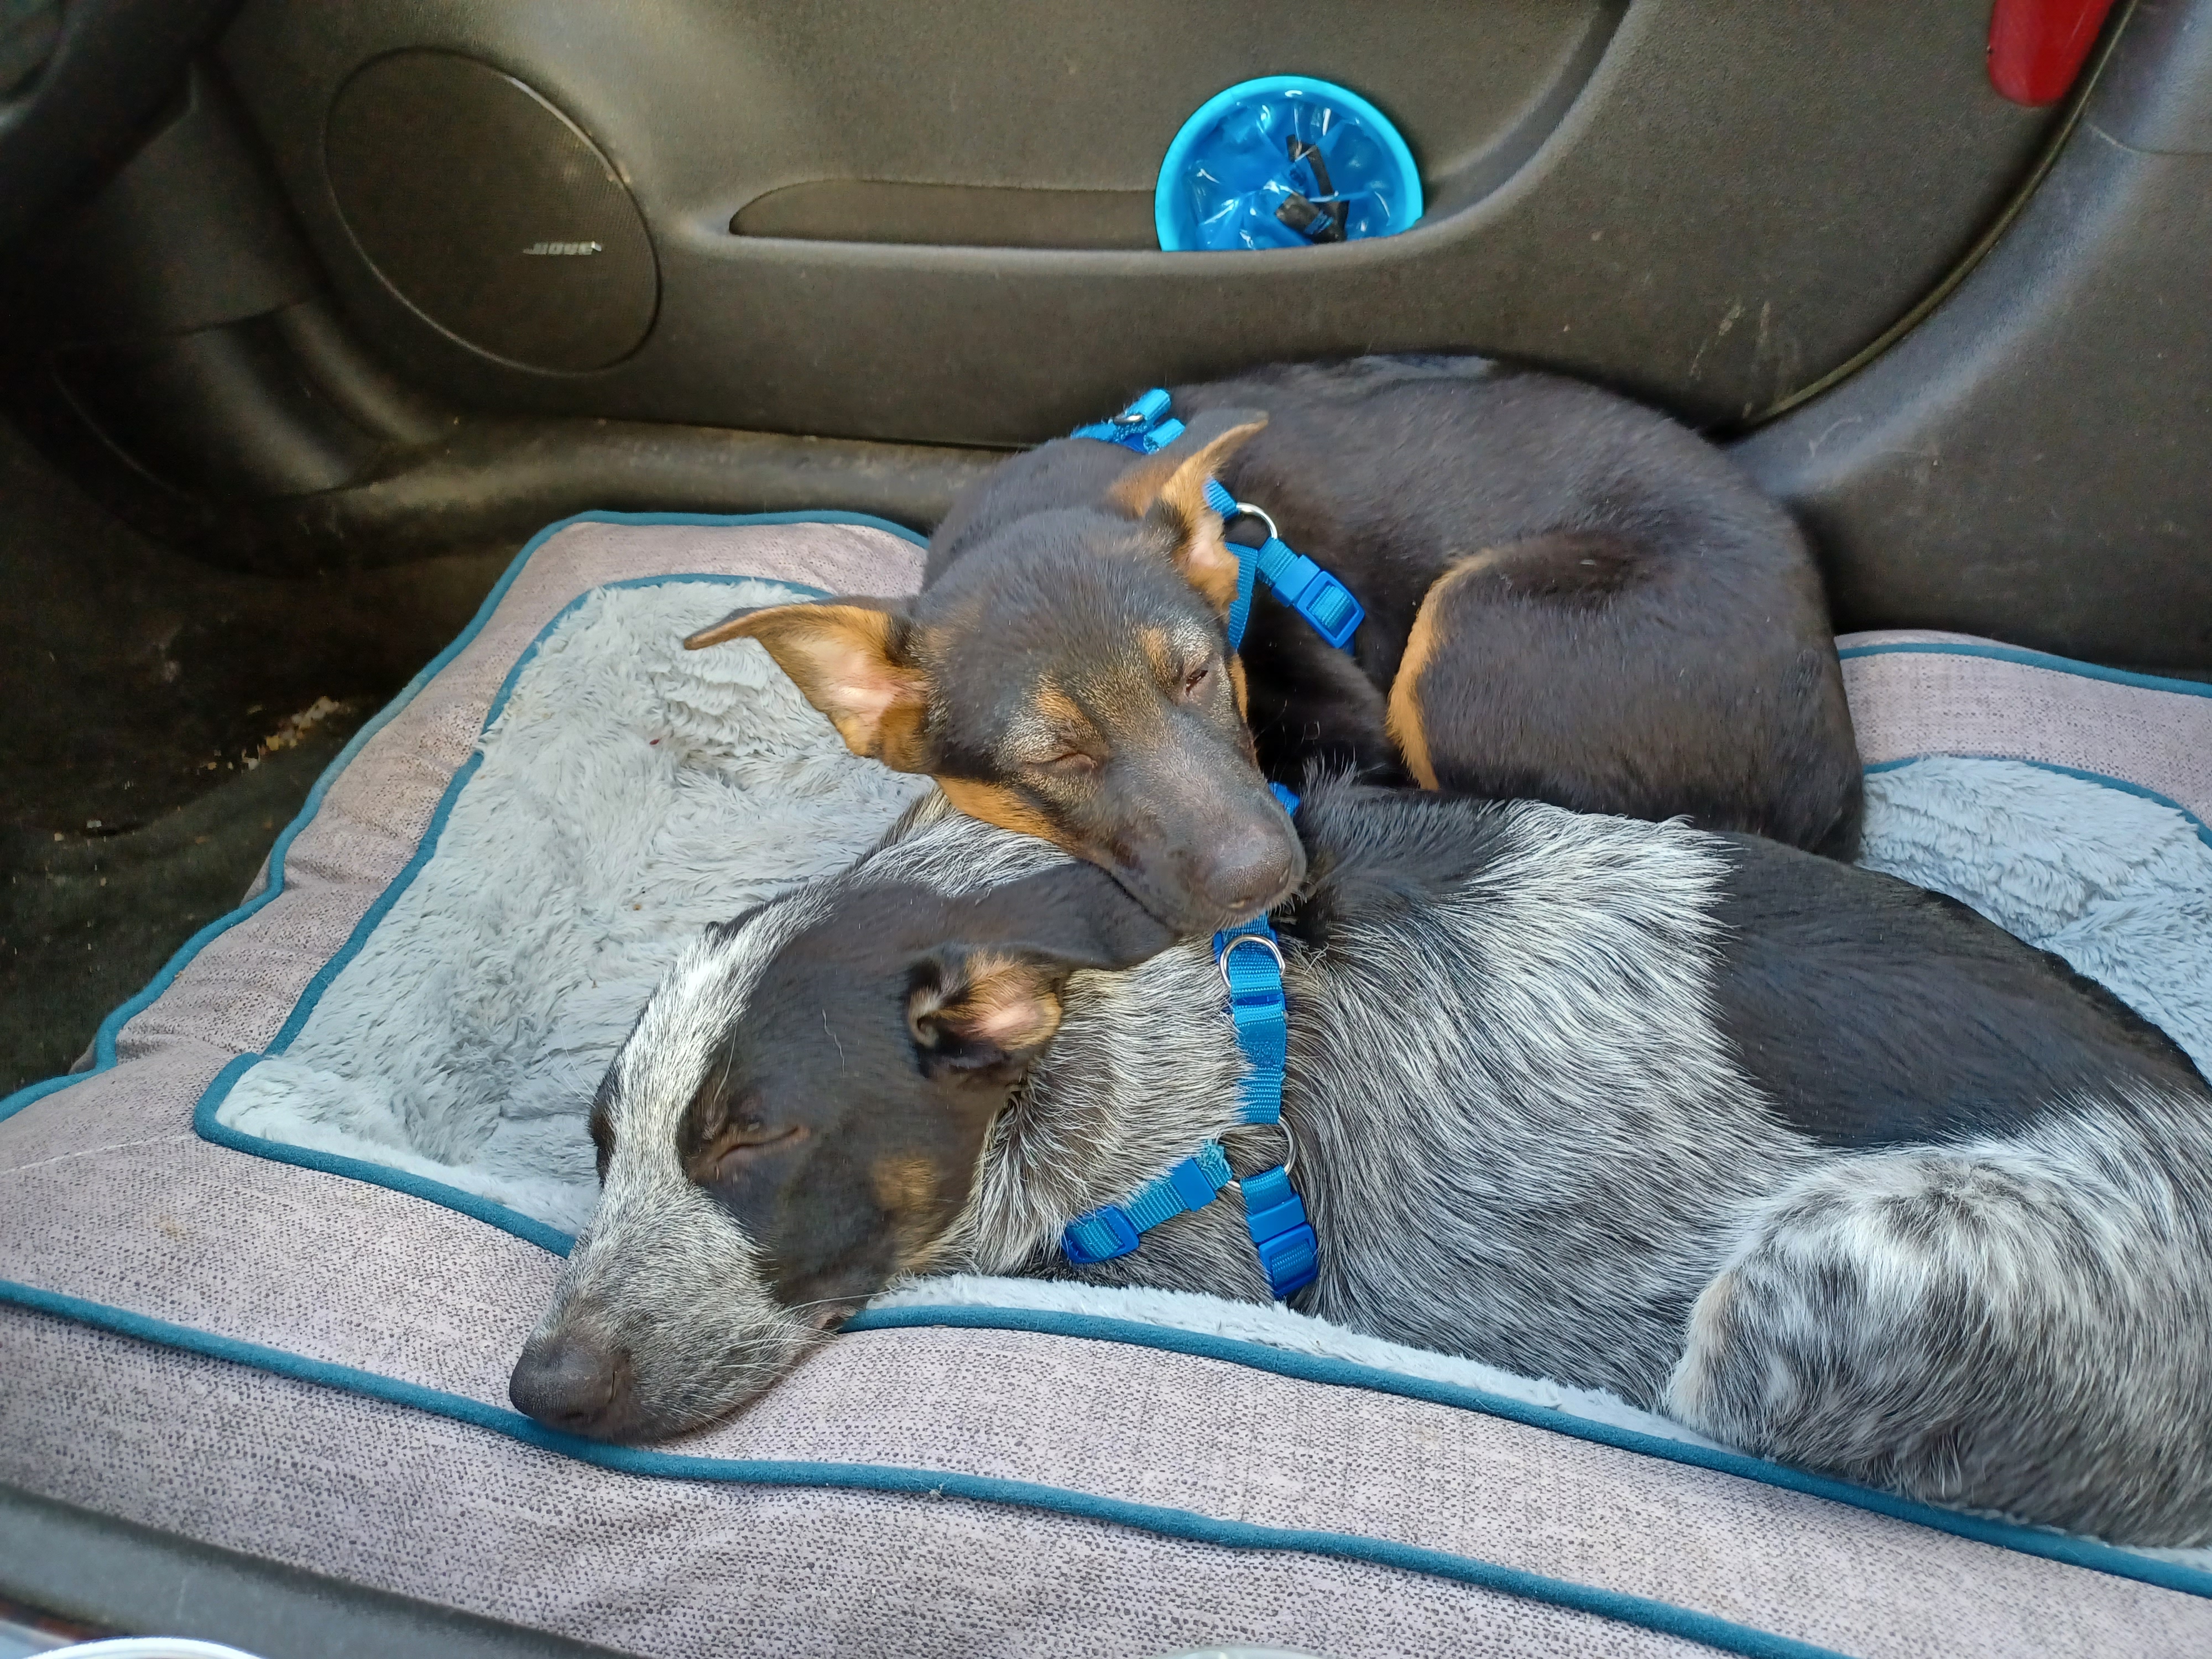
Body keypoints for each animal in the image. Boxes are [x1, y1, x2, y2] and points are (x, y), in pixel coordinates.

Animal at [681, 354, 1858, 938]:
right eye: (1056, 756)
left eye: (1198, 674)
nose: (1266, 880)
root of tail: (1835, 784)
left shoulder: (1353, 729)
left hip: (1474, 631)